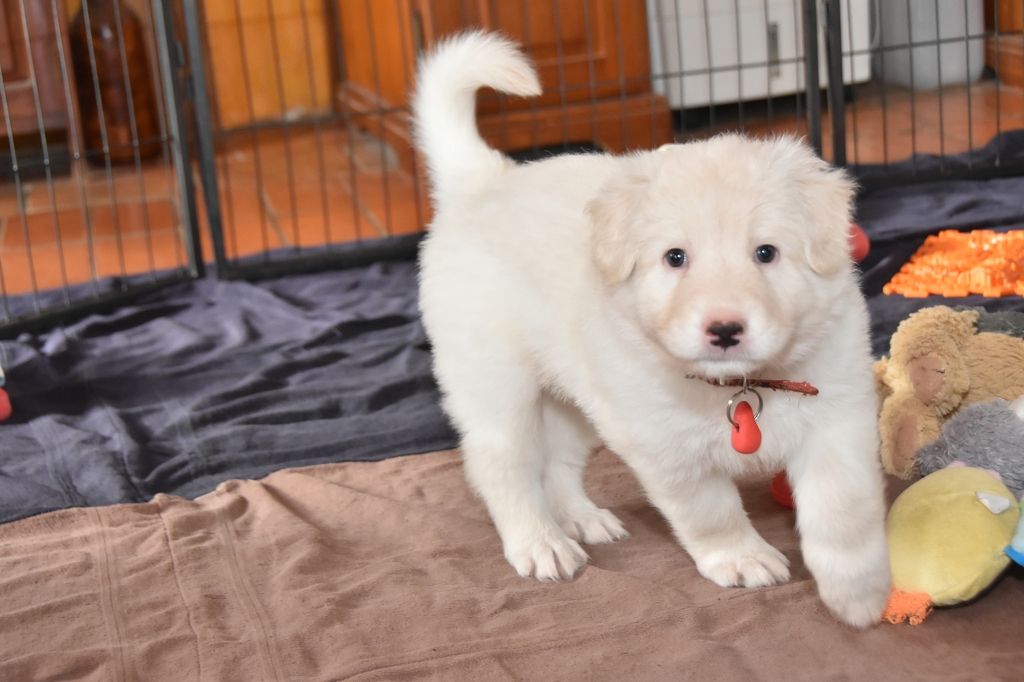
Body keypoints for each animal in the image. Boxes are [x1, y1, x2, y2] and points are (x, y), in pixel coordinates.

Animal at [413, 31, 891, 628]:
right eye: (675, 258)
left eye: (766, 252)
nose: (724, 330)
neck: (738, 385)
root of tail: (484, 179)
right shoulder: (665, 445)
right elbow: (712, 510)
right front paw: (742, 558)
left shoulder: (838, 416)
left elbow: (844, 507)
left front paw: (860, 592)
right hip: (496, 385)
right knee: (503, 469)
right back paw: (541, 543)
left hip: (577, 398)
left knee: (557, 464)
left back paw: (584, 518)